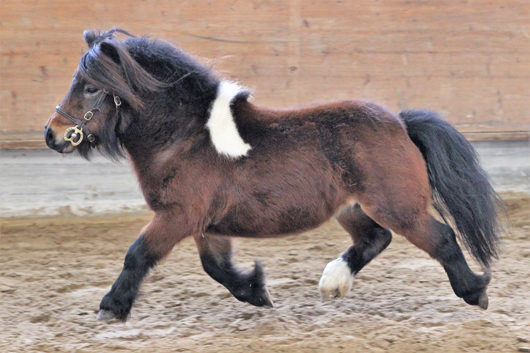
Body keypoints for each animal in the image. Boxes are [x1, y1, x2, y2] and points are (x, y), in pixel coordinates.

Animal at [44, 29, 500, 322]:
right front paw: (257, 291)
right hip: (352, 207)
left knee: (441, 238)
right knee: (374, 238)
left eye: (89, 86)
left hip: (398, 206)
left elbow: (138, 254)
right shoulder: (204, 224)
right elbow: (216, 267)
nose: (52, 134)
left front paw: (111, 307)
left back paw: (475, 292)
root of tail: (401, 124)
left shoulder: (178, 216)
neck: (184, 136)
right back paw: (333, 283)